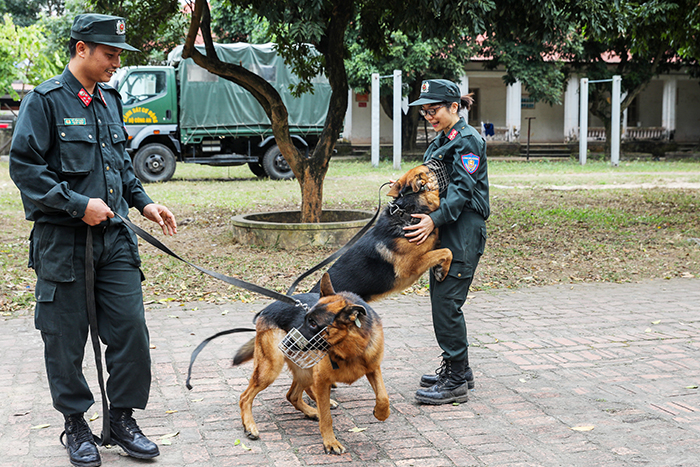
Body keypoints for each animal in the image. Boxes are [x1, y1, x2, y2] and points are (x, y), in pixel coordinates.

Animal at [232, 164, 454, 454]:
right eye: (425, 172)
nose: (442, 161)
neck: (406, 209)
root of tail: (271, 308)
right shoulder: (412, 267)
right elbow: (446, 251)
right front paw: (443, 268)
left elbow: (443, 249)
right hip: (273, 365)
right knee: (248, 395)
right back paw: (253, 425)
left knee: (295, 392)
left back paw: (313, 409)